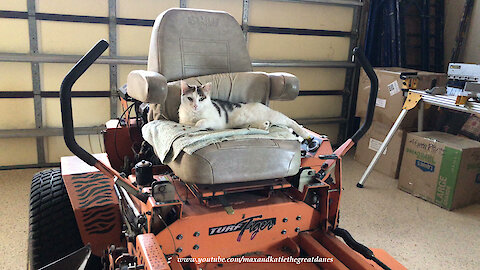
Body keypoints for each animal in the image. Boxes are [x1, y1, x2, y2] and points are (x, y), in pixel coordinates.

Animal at [177, 80, 312, 139]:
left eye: (201, 99)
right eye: (190, 98)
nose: (195, 106)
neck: (195, 115)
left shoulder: (216, 121)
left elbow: (201, 122)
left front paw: (198, 124)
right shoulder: (183, 121)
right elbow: (190, 123)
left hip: (275, 116)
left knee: (291, 121)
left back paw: (305, 134)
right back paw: (265, 125)